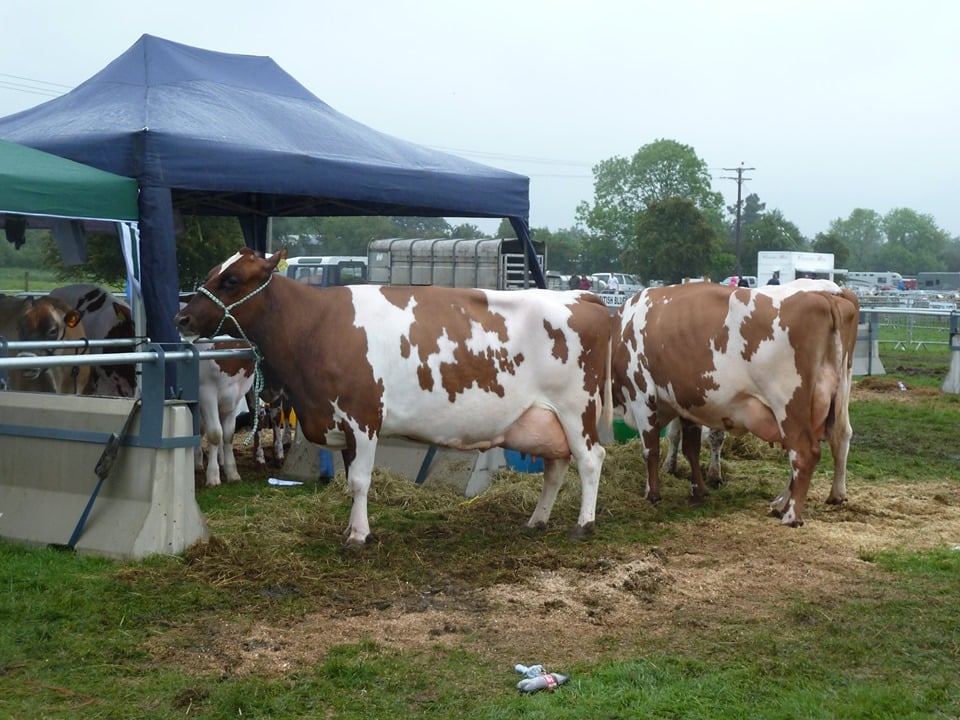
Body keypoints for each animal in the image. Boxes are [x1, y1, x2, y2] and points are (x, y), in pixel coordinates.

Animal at [175, 248, 612, 544]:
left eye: (232, 280)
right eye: (212, 272)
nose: (182, 318)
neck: (315, 326)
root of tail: (580, 297)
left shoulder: (363, 418)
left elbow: (360, 480)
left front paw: (358, 536)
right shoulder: (341, 424)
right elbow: (350, 478)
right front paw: (351, 528)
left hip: (577, 409)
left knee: (590, 459)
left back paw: (584, 524)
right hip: (545, 418)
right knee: (556, 466)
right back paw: (537, 520)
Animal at [616, 278, 864, 524]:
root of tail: (827, 295)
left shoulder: (641, 393)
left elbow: (652, 448)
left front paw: (653, 493)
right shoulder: (687, 402)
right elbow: (691, 449)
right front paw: (698, 491)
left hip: (788, 403)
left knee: (804, 452)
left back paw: (790, 515)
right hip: (834, 398)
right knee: (839, 437)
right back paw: (813, 499)